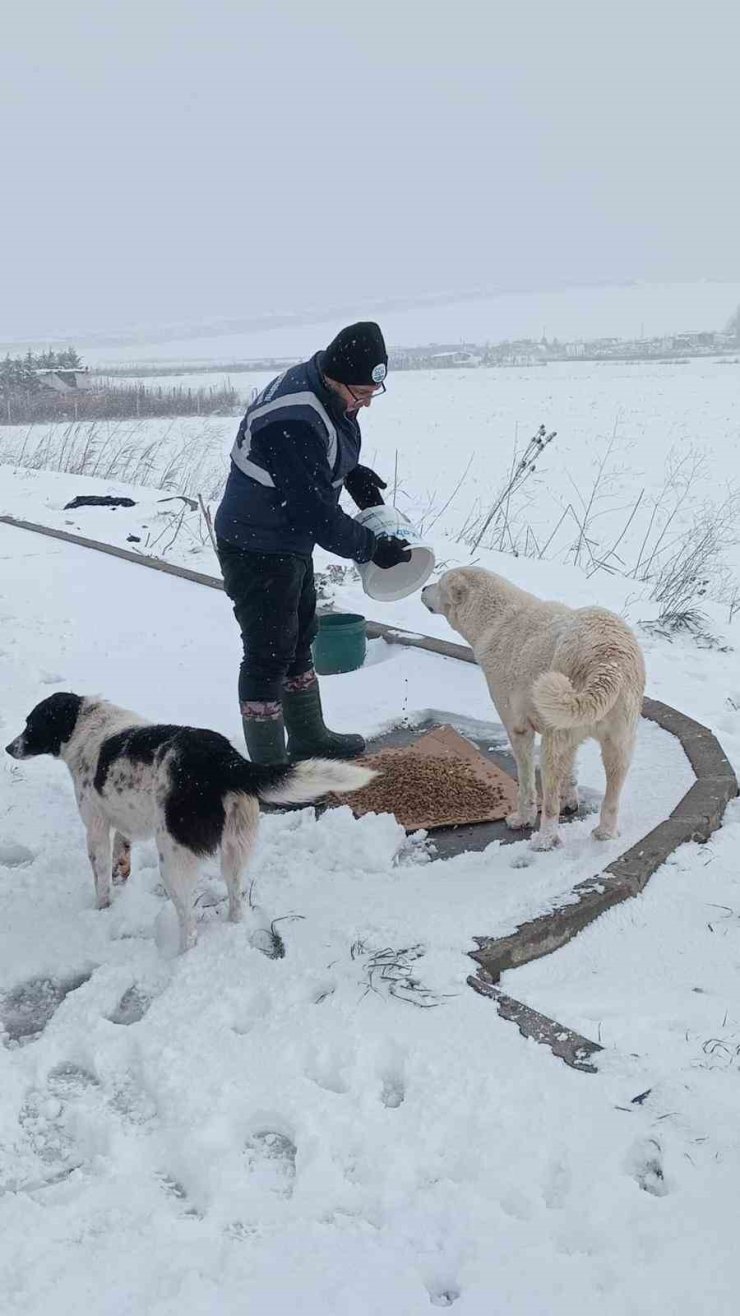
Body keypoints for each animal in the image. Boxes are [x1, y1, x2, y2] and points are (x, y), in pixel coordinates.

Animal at [5, 694, 373, 952]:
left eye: (32, 723)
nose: (9, 747)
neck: (85, 725)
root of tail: (226, 760)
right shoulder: (120, 817)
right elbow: (121, 851)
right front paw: (121, 873)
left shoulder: (95, 825)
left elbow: (100, 878)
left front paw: (102, 908)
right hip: (235, 849)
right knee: (237, 901)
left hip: (173, 859)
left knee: (189, 923)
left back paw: (180, 956)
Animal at [423, 571, 642, 847]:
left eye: (440, 583)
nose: (423, 589)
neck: (495, 618)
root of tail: (608, 660)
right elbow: (571, 768)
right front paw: (570, 802)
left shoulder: (517, 726)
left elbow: (526, 776)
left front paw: (522, 818)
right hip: (618, 735)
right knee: (613, 788)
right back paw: (605, 833)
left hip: (555, 732)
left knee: (549, 793)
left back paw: (544, 839)